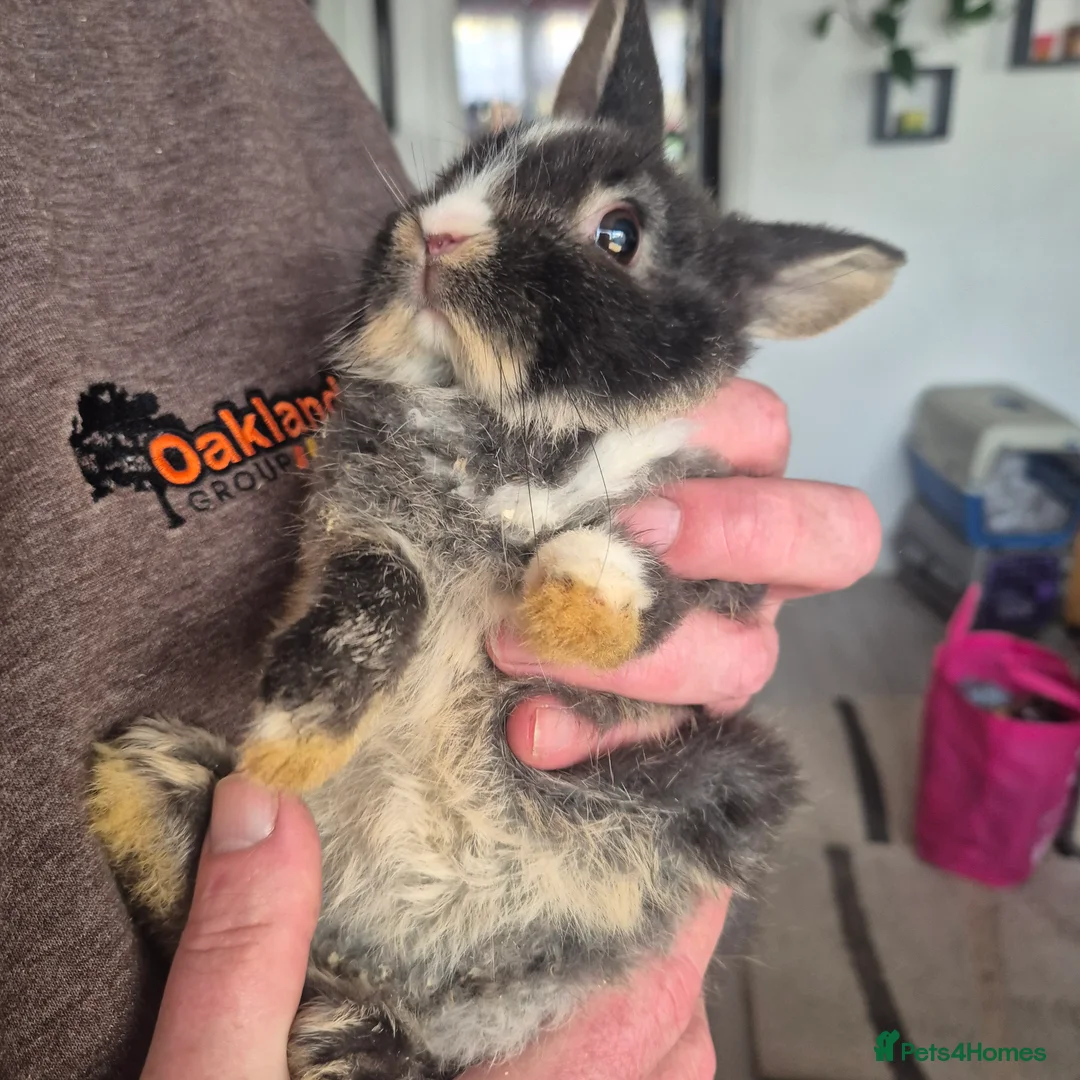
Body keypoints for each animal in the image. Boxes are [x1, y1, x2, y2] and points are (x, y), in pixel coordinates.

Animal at [87, 1, 905, 1077]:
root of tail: (388, 956)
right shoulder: (360, 527)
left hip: (718, 788)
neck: (509, 429)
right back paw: (150, 794)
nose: (437, 234)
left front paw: (579, 587)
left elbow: (657, 568)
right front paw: (294, 747)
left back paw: (353, 1040)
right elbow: (380, 589)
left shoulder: (696, 529)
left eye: (619, 233)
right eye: (471, 160)